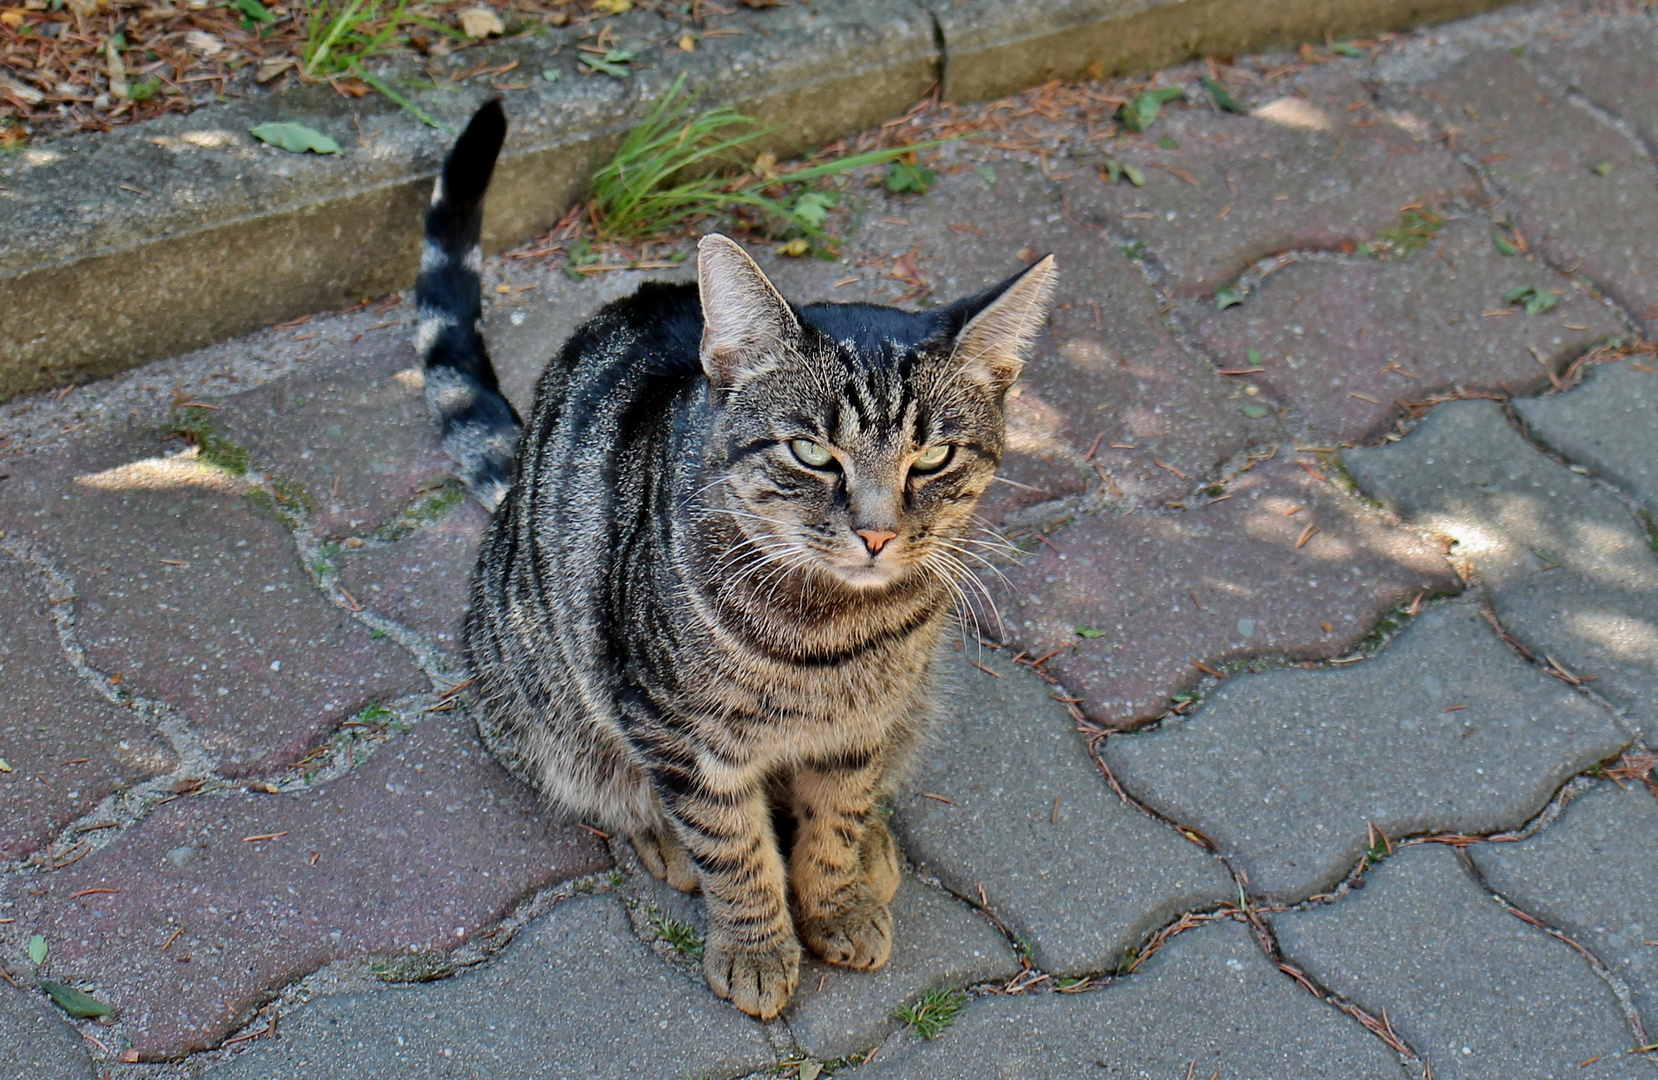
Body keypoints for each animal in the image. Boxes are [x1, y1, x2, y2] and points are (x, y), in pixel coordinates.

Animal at [421, 97, 1054, 1015]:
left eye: (933, 458)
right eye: (811, 452)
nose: (876, 532)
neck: (830, 636)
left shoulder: (860, 725)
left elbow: (835, 816)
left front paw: (837, 900)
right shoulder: (676, 730)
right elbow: (735, 847)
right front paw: (756, 945)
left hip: (914, 701)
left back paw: (876, 852)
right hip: (544, 694)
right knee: (616, 784)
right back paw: (660, 837)